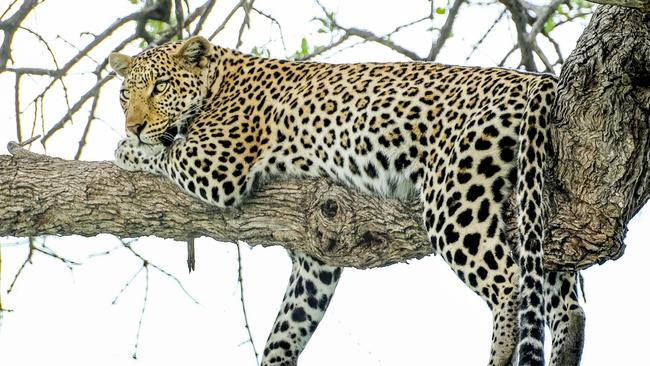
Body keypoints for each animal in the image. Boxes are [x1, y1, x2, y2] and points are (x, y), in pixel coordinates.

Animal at [109, 35, 584, 366]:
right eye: (124, 94)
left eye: (160, 87)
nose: (132, 124)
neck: (218, 78)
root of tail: (535, 78)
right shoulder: (317, 252)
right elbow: (287, 328)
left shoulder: (214, 163)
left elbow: (164, 150)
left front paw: (126, 148)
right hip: (536, 200)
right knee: (566, 300)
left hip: (453, 198)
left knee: (509, 281)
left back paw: (501, 351)